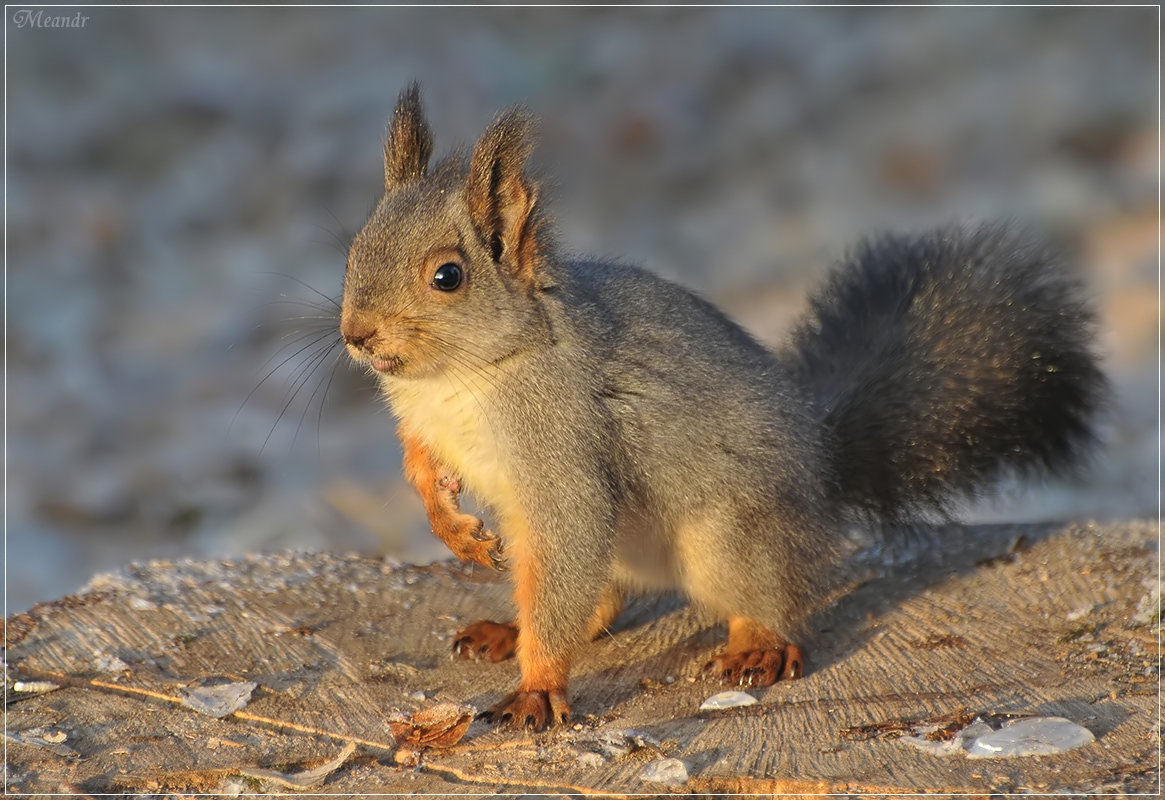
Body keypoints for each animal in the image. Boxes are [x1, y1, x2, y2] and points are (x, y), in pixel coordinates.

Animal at [340, 86, 1109, 731]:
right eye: (353, 249)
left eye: (448, 276)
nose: (356, 335)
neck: (458, 376)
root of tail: (822, 466)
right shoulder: (424, 427)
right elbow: (421, 471)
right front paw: (453, 529)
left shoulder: (561, 445)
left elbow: (566, 533)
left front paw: (536, 690)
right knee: (599, 597)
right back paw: (506, 629)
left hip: (728, 538)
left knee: (762, 598)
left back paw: (757, 646)